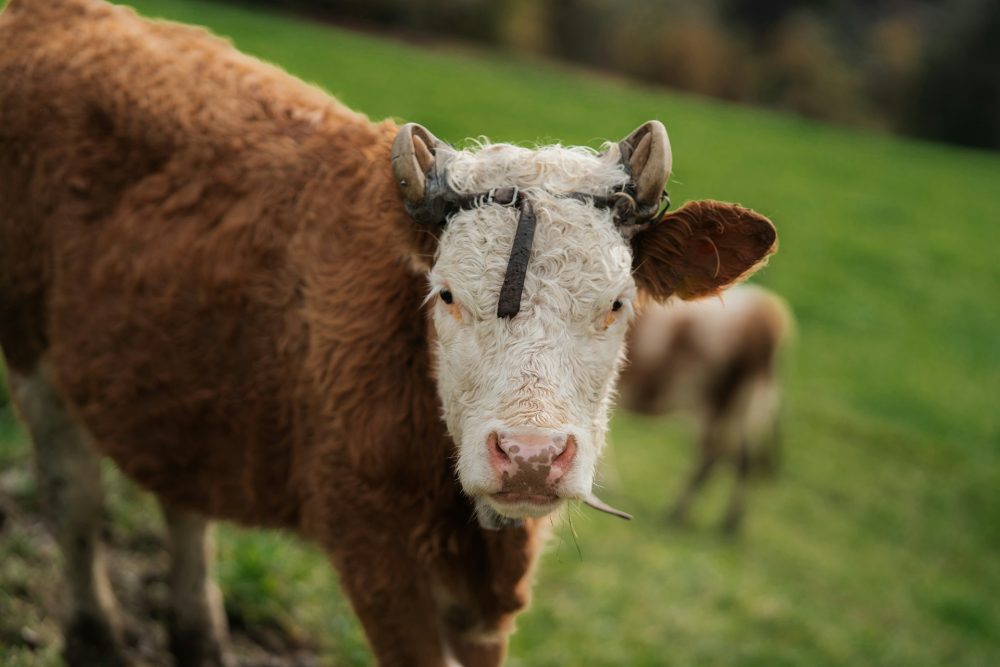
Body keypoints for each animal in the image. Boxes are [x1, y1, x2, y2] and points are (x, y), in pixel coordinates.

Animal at [616, 284, 788, 536]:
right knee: (741, 458)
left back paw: (676, 513)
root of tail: (767, 318)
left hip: (713, 401)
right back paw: (730, 523)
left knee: (711, 456)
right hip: (742, 403)